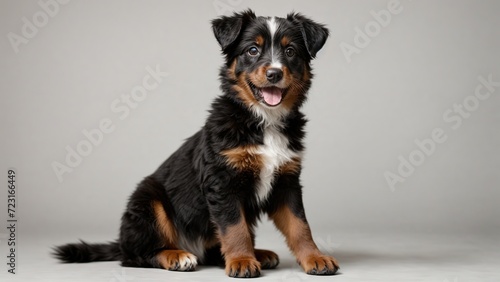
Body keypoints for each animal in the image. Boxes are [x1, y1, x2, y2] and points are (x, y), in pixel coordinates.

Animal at [54, 9, 338, 278]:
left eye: (290, 51)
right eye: (252, 50)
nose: (274, 73)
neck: (263, 120)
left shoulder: (287, 180)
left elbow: (299, 225)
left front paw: (315, 258)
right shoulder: (221, 182)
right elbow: (235, 228)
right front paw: (242, 261)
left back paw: (258, 253)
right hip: (149, 201)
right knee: (137, 255)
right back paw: (177, 256)